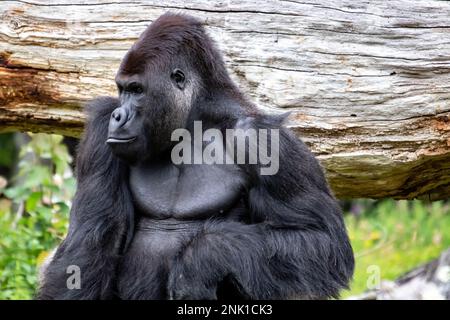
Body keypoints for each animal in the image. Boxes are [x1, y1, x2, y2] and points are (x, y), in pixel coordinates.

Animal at [37, 12, 356, 300]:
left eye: (137, 90)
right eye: (122, 89)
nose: (119, 116)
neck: (192, 122)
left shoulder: (264, 140)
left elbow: (321, 240)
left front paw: (201, 260)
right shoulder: (102, 130)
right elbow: (88, 248)